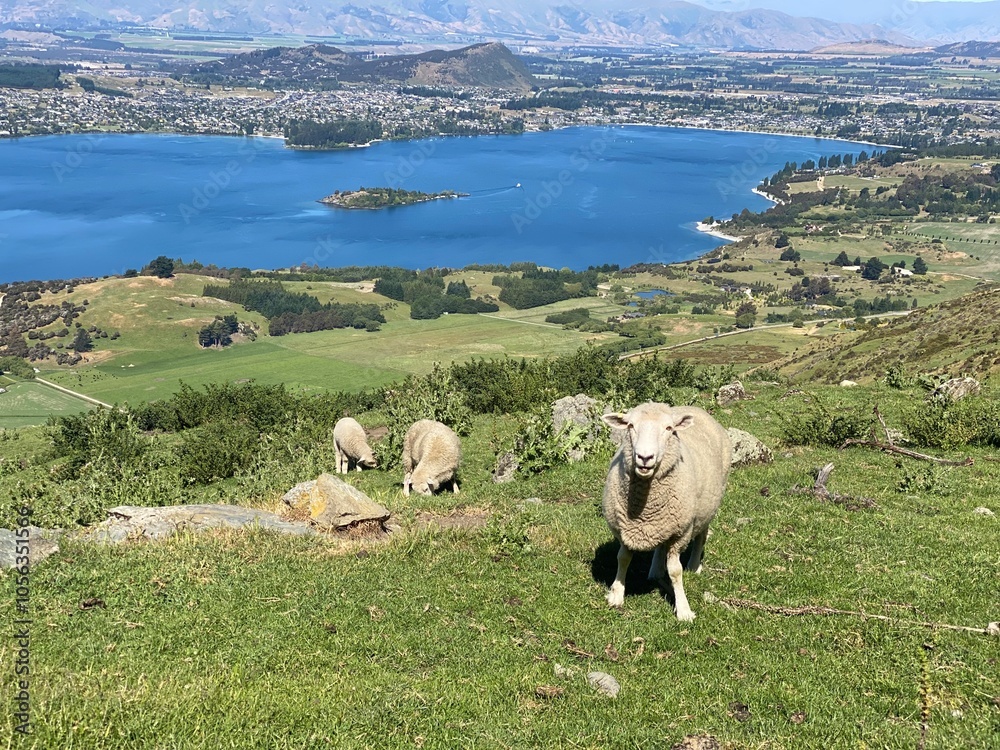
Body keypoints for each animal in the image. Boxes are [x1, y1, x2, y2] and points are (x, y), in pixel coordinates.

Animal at [600, 402, 731, 621]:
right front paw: (616, 594)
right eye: (630, 426)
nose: (645, 457)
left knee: (701, 536)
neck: (644, 508)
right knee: (661, 545)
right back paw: (655, 570)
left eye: (669, 429)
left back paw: (694, 565)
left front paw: (684, 609)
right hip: (665, 524)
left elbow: (675, 571)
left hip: (706, 509)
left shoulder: (680, 533)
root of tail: (695, 408)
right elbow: (623, 558)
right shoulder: (623, 529)